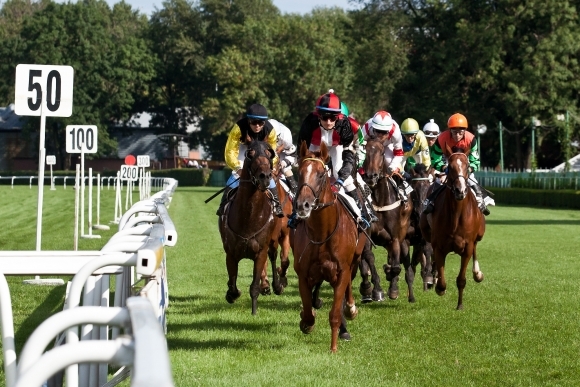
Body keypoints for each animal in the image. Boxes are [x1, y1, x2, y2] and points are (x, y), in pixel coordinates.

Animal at [219, 141, 278, 316]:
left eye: (270, 153)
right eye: (250, 154)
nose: (265, 176)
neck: (249, 217)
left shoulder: (260, 252)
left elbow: (254, 286)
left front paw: (254, 312)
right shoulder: (231, 253)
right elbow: (232, 283)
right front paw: (232, 294)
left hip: (274, 240)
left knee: (273, 256)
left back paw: (276, 285)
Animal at [292, 141, 364, 354]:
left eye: (320, 174)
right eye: (300, 173)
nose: (303, 205)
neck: (322, 234)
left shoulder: (342, 271)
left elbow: (335, 313)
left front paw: (333, 347)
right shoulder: (303, 273)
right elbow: (308, 312)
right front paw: (306, 322)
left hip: (355, 259)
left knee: (347, 290)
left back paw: (350, 310)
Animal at [360, 137, 414, 304]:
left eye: (382, 152)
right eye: (365, 150)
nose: (371, 176)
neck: (381, 202)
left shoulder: (395, 238)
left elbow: (396, 266)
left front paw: (393, 287)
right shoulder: (367, 236)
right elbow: (369, 258)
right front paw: (375, 289)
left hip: (404, 239)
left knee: (405, 265)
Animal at [420, 147, 488, 310]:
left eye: (468, 166)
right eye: (450, 167)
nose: (460, 190)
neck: (456, 215)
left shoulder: (467, 246)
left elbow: (461, 279)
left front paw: (460, 305)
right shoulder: (439, 246)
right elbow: (442, 281)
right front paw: (438, 285)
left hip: (479, 234)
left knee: (476, 247)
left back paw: (477, 273)